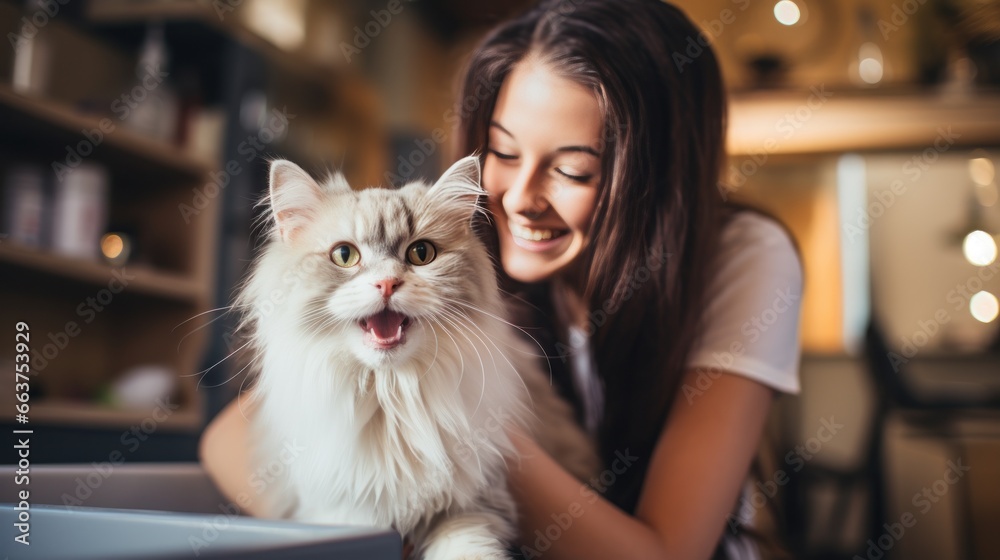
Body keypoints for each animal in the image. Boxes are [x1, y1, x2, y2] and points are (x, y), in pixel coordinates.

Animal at [236, 155, 592, 556]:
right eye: (344, 255)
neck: (390, 397)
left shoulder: (474, 506)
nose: (387, 283)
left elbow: (470, 550)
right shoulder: (340, 512)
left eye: (421, 254)